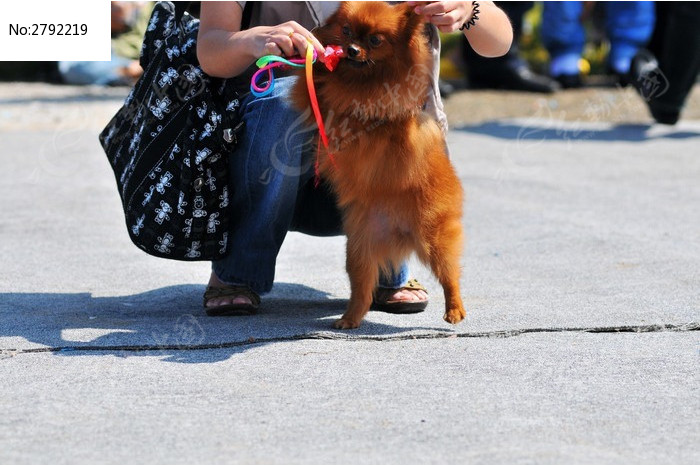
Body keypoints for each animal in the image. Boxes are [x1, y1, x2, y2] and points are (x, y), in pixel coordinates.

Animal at [290, 0, 464, 328]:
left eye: (374, 40)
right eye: (346, 31)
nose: (351, 49)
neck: (360, 81)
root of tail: (400, 234)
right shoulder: (319, 101)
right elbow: (310, 86)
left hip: (434, 238)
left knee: (450, 275)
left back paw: (454, 309)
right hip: (359, 251)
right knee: (362, 291)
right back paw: (349, 319)